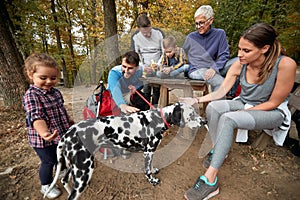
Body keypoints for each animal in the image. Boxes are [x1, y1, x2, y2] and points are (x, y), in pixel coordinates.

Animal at [44, 102, 206, 199]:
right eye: (192, 114)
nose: (204, 121)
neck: (157, 119)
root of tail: (67, 134)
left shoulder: (150, 153)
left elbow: (151, 166)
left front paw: (153, 170)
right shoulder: (148, 152)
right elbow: (147, 171)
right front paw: (152, 180)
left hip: (75, 167)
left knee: (64, 180)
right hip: (84, 171)